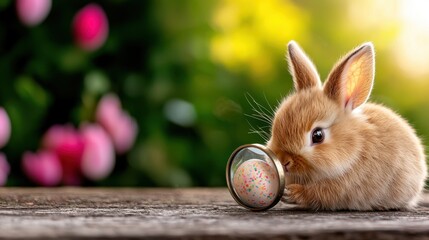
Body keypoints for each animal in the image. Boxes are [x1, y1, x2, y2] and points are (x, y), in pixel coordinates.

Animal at [266, 41, 426, 210]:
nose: (284, 162)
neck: (354, 148)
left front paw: (291, 193)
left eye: (318, 135)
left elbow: (317, 194)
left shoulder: (343, 186)